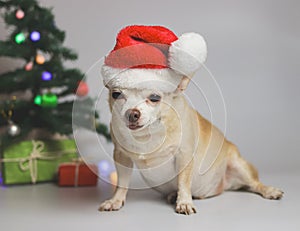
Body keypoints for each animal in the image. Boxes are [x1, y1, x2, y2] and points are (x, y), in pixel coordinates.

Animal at [99, 25, 284, 215]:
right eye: (116, 94)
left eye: (155, 98)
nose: (132, 113)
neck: (148, 134)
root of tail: (225, 187)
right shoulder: (121, 157)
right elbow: (122, 182)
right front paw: (116, 200)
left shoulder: (184, 156)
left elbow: (183, 182)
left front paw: (184, 202)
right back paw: (174, 195)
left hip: (238, 164)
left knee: (254, 184)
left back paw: (269, 190)